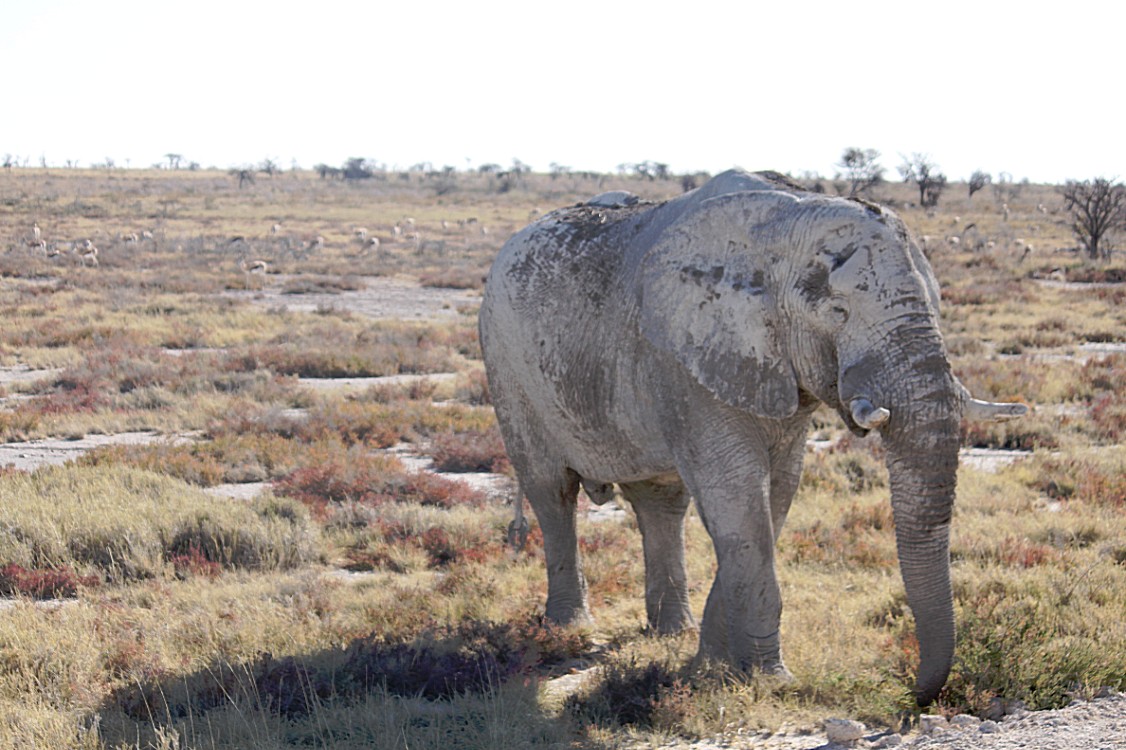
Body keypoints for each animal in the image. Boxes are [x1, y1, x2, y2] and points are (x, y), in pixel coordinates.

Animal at [477, 167, 1031, 702]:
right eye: (838, 313)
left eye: (938, 308)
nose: (914, 694)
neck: (786, 223)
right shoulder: (690, 358)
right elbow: (739, 498)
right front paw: (770, 679)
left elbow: (774, 497)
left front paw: (715, 666)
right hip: (505, 364)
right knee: (552, 493)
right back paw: (568, 630)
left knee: (660, 503)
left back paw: (670, 633)